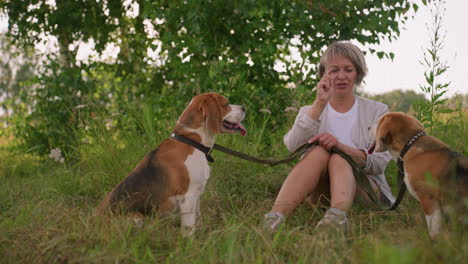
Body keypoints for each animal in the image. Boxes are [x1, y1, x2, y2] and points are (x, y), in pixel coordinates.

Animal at [97, 93, 247, 235]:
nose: (244, 108)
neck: (191, 141)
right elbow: (189, 229)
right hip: (136, 217)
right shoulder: (187, 197)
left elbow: (198, 220)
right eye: (226, 104)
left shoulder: (196, 194)